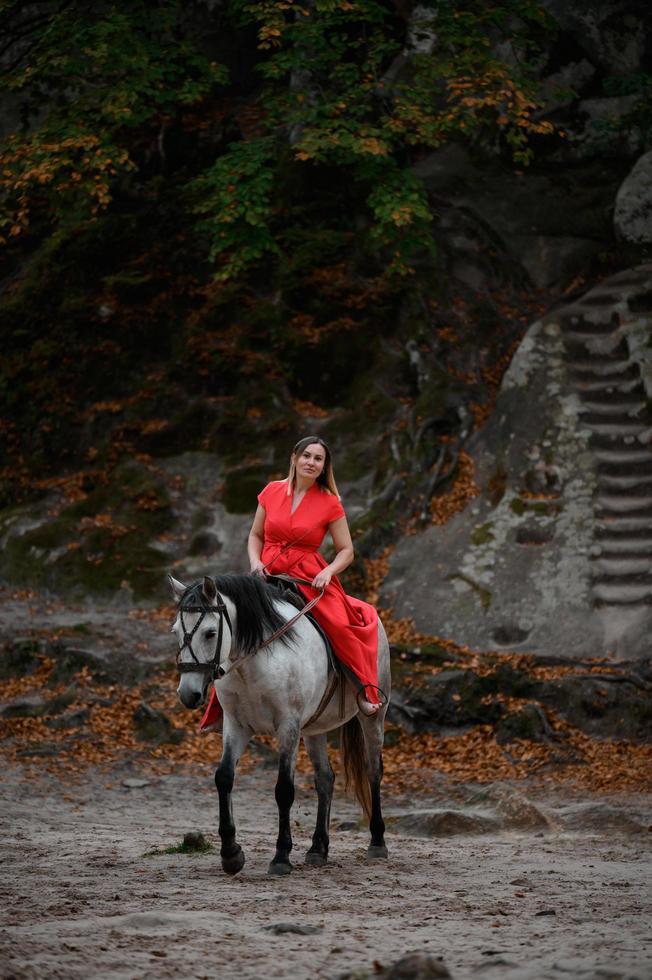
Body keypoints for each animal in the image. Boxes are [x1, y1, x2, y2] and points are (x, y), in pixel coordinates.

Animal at [171, 572, 390, 876]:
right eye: (176, 632)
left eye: (210, 633)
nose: (187, 694)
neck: (253, 661)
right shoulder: (236, 726)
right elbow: (224, 777)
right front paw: (231, 853)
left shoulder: (288, 725)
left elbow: (284, 789)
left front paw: (281, 856)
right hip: (314, 729)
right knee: (325, 779)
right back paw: (318, 848)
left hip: (372, 717)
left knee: (373, 771)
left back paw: (377, 842)